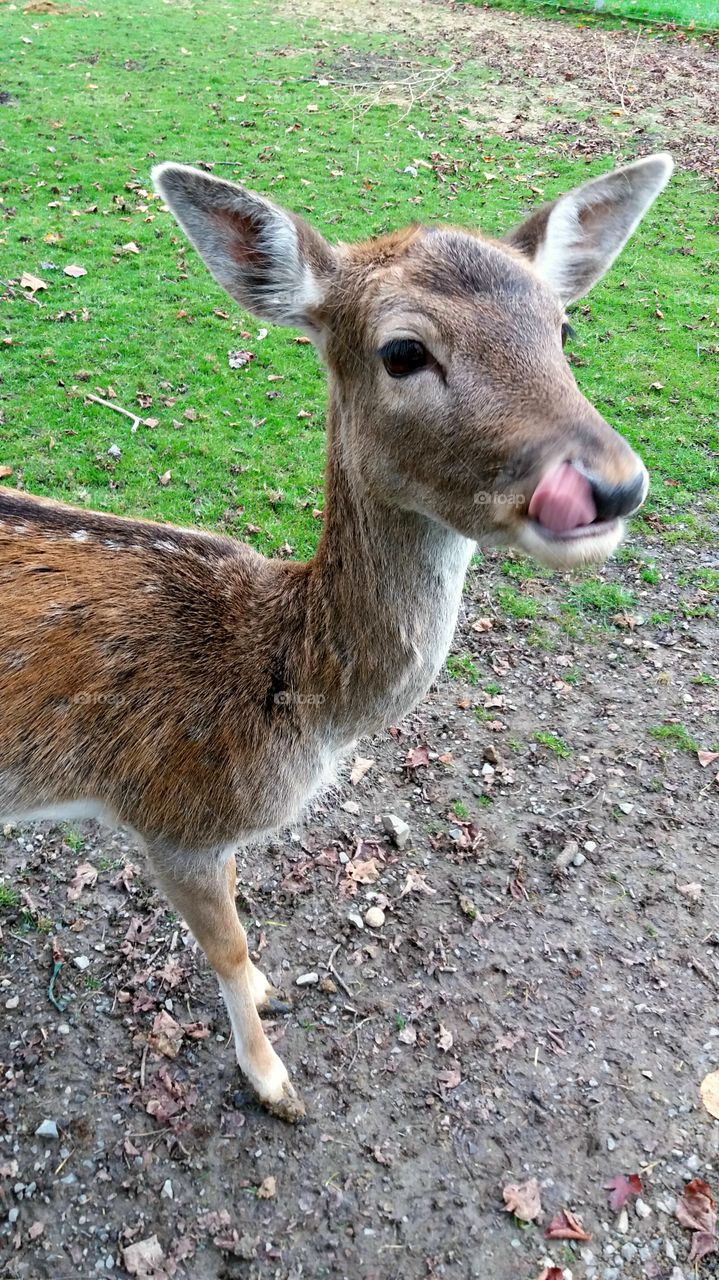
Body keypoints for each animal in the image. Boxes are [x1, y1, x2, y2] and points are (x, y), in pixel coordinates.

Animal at [0, 152, 670, 1121]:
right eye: (402, 351)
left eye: (563, 326)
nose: (611, 485)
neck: (287, 699)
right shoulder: (170, 819)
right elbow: (228, 947)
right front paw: (273, 1080)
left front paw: (271, 996)